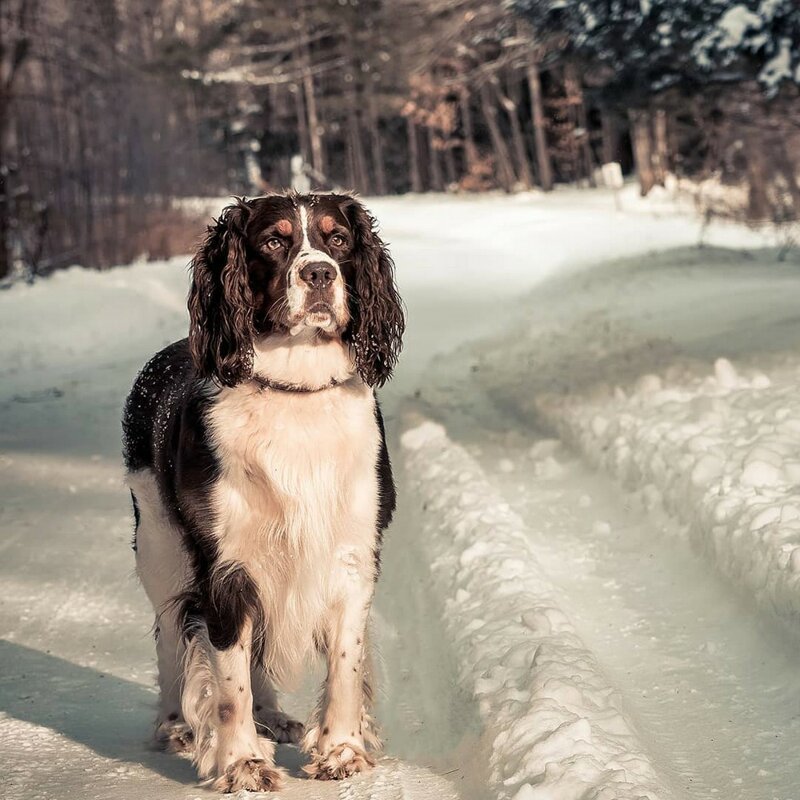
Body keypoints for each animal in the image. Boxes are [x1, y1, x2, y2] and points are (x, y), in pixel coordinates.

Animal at [123, 191, 406, 792]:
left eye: (338, 239)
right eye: (274, 241)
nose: (319, 273)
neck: (294, 391)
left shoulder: (350, 554)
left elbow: (345, 663)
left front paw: (341, 751)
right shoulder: (226, 565)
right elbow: (228, 681)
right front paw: (241, 764)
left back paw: (273, 717)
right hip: (160, 548)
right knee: (169, 637)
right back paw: (175, 727)